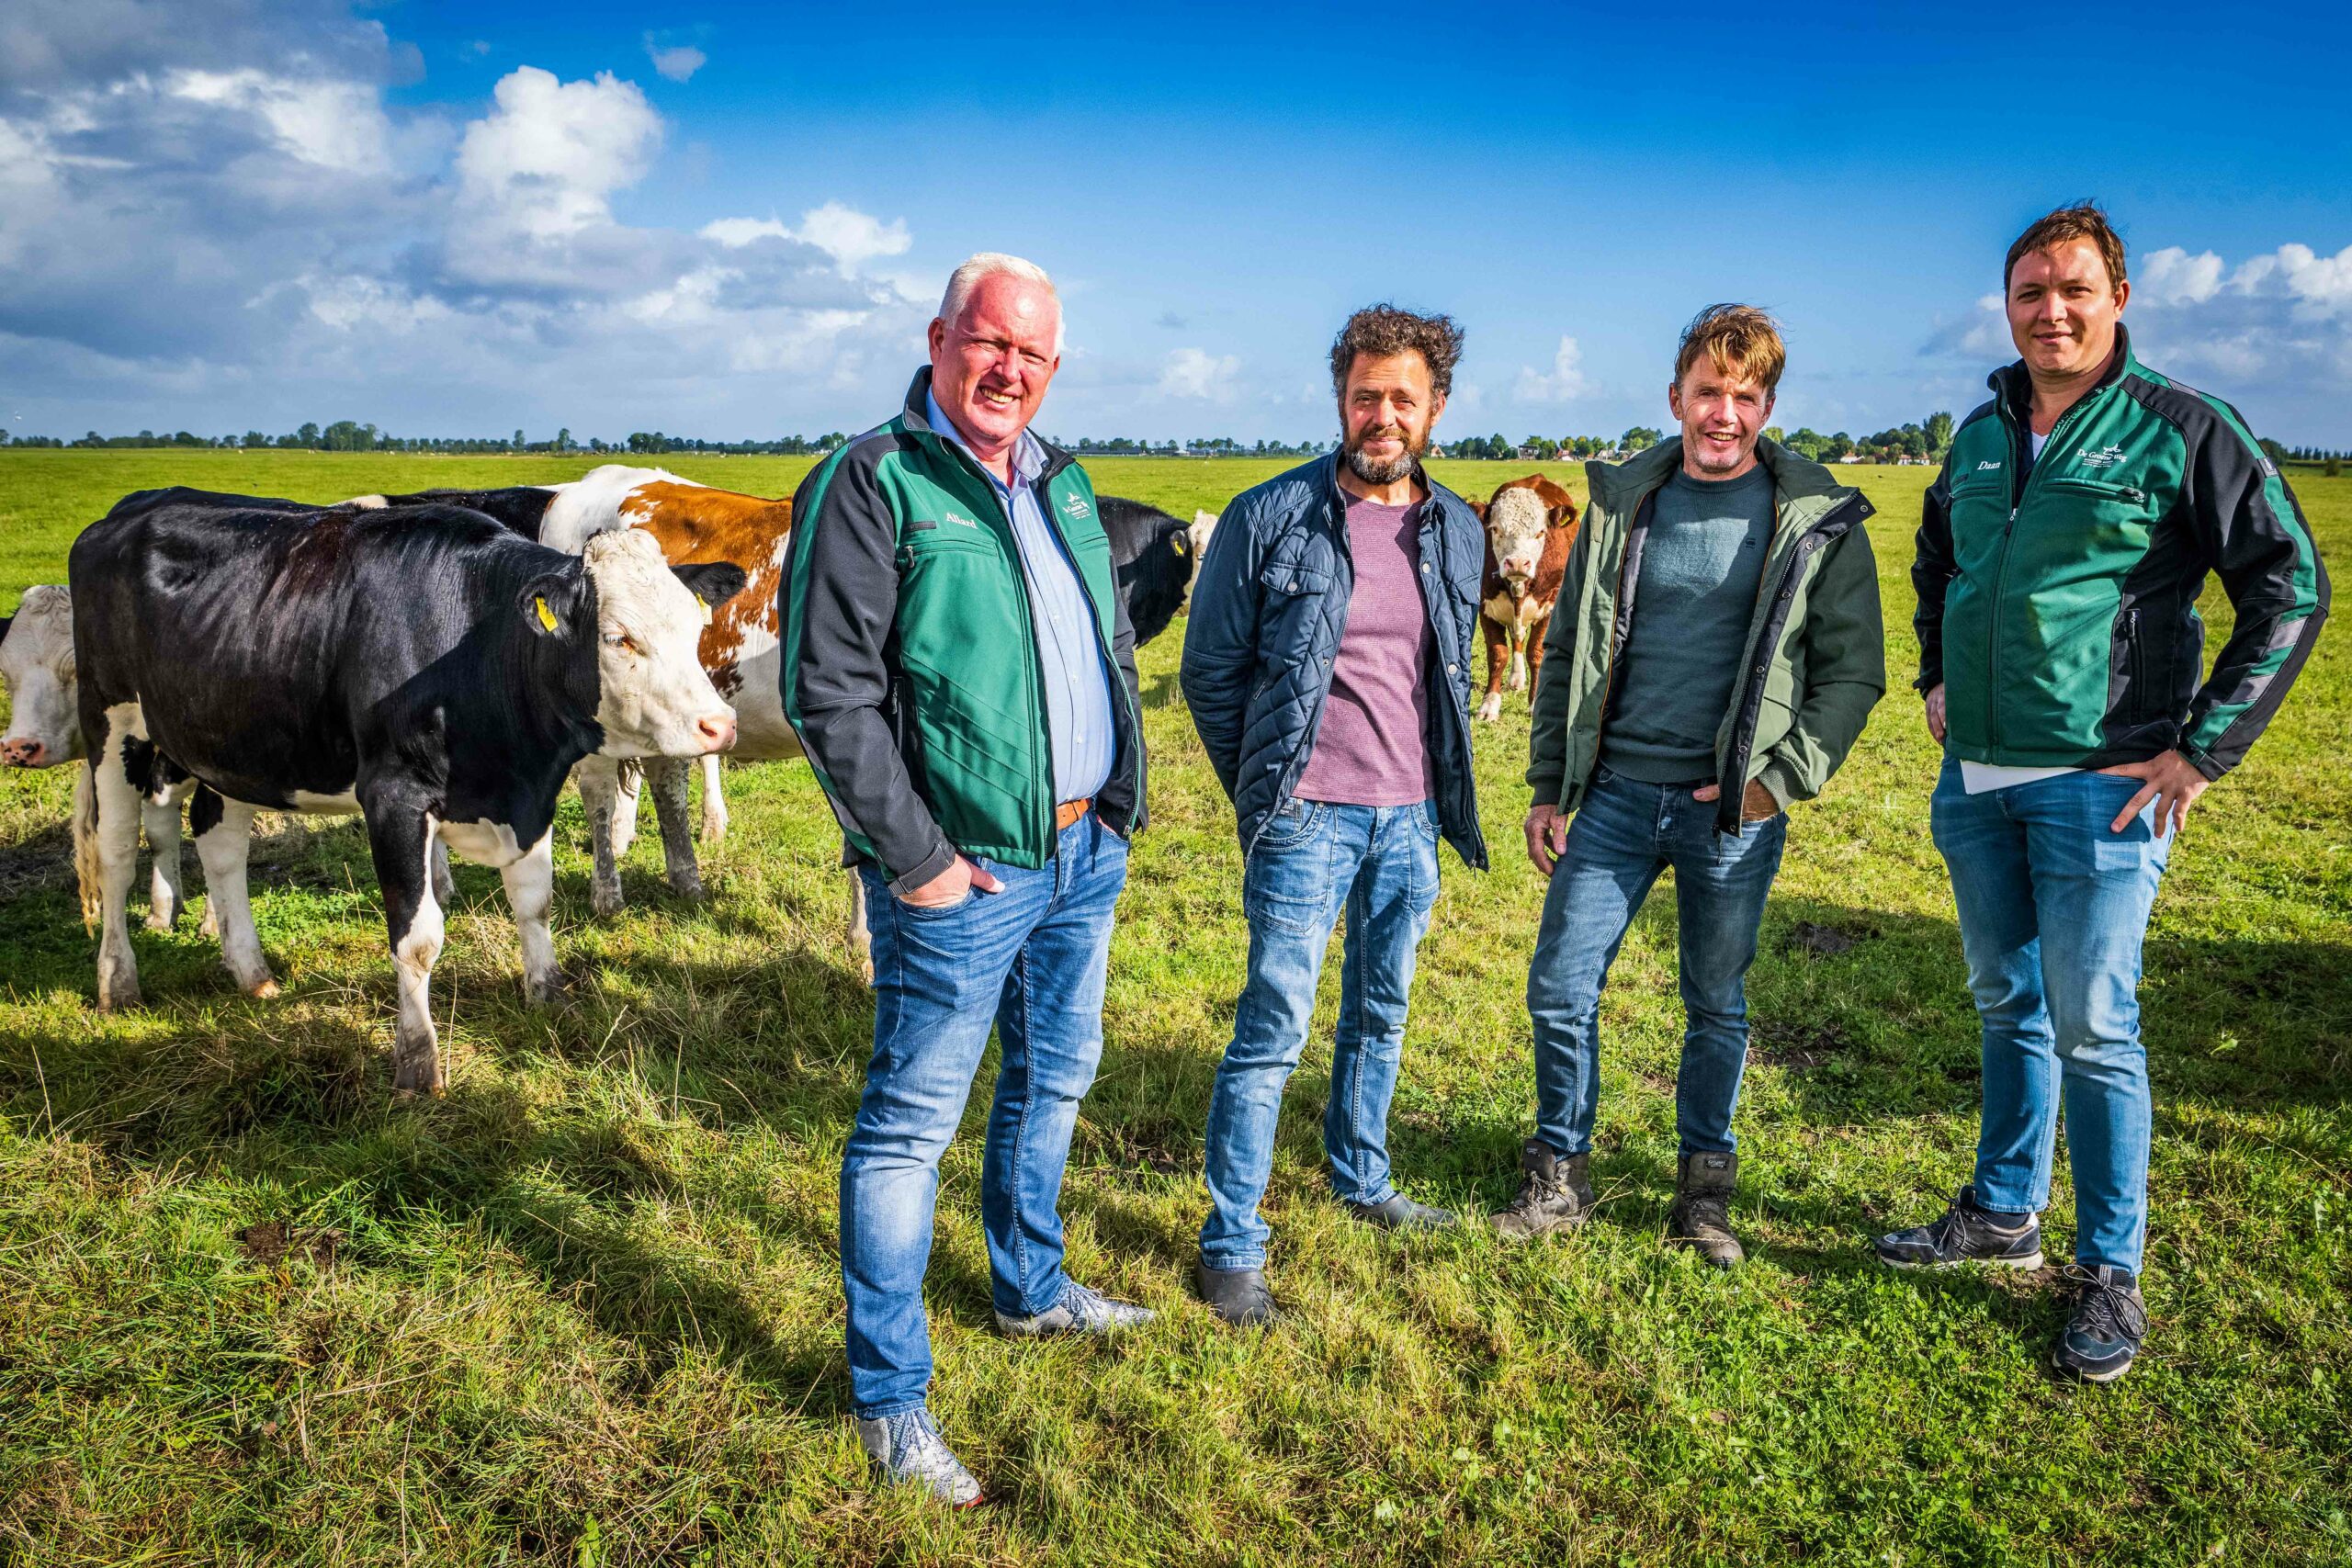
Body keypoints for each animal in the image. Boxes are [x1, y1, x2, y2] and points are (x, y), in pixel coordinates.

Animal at [68, 495, 742, 1100]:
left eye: (695, 627)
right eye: (618, 638)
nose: (719, 724)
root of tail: (123, 513)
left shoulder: (529, 795)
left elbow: (535, 902)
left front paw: (549, 995)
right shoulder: (393, 796)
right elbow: (418, 939)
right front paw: (418, 1064)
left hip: (233, 742)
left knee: (221, 841)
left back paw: (251, 972)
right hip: (111, 721)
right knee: (115, 855)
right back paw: (117, 984)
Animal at [1467, 479, 1580, 724]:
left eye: (1541, 532)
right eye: (1495, 529)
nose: (1518, 563)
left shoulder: (1551, 606)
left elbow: (1536, 653)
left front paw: (1535, 702)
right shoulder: (1485, 606)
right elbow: (1498, 655)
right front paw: (1489, 705)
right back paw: (1516, 678)